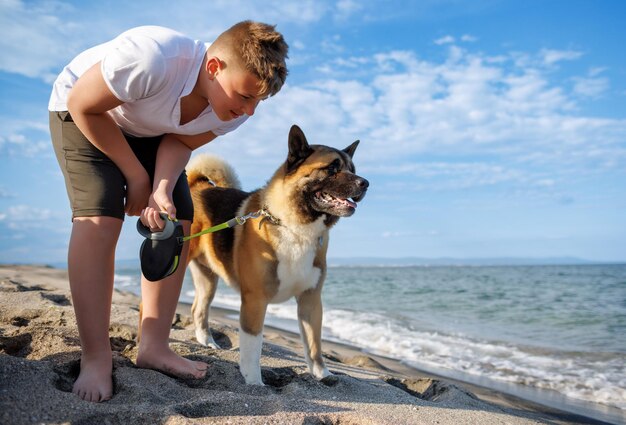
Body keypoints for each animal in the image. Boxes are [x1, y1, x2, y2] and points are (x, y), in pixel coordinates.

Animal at [188, 123, 368, 384]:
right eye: (332, 168)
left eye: (353, 169)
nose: (366, 183)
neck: (295, 228)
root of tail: (196, 186)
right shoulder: (255, 300)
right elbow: (253, 347)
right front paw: (254, 382)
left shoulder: (310, 300)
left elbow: (314, 344)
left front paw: (322, 375)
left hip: (207, 279)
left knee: (199, 309)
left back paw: (207, 343)